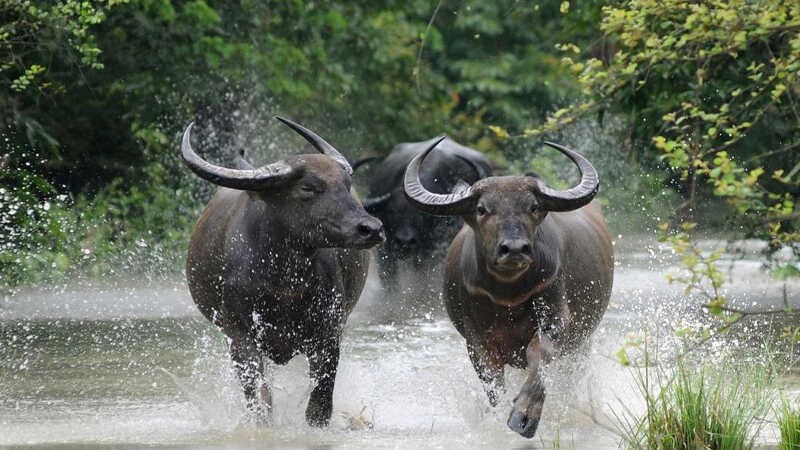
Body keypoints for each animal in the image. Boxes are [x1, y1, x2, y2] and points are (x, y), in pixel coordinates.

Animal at [180, 116, 384, 426]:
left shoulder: (329, 333)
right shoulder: (240, 335)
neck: (283, 283)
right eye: (308, 188)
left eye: (346, 185)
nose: (371, 228)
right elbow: (259, 397)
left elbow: (320, 402)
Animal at [404, 138, 616, 440]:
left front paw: (523, 416)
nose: (514, 249)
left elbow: (539, 356)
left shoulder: (556, 319)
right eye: (482, 208)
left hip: (583, 341)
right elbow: (493, 383)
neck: (508, 295)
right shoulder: (476, 340)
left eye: (533, 207)